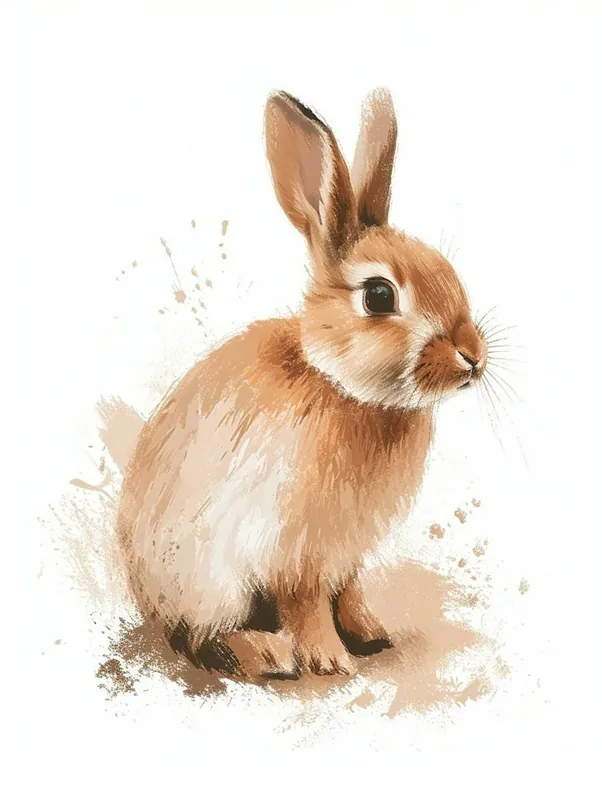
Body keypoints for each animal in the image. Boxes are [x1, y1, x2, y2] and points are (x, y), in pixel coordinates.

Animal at [116, 88, 489, 681]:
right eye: (379, 296)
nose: (472, 357)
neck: (339, 385)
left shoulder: (346, 555)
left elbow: (349, 592)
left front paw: (371, 633)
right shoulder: (295, 554)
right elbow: (308, 605)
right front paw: (332, 660)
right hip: (210, 583)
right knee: (202, 640)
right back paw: (270, 654)